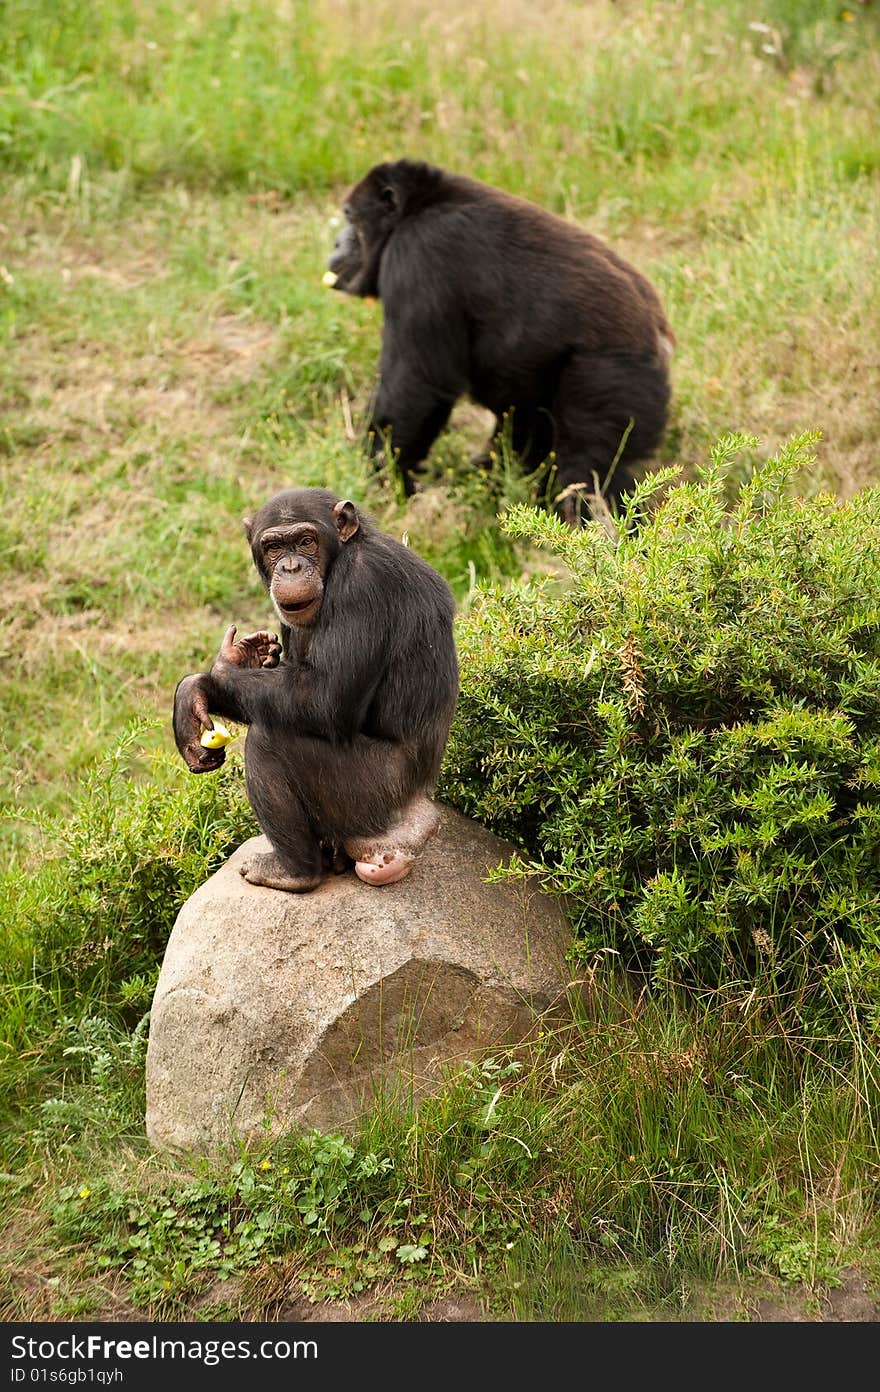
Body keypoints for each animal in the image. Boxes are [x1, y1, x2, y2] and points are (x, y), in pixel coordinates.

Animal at [172, 484, 459, 885]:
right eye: (274, 547)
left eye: (306, 541)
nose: (291, 566)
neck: (341, 556)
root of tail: (418, 801)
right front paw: (196, 691)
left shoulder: (361, 586)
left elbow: (324, 699)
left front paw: (224, 667)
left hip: (372, 793)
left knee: (271, 740)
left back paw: (294, 869)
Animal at [327, 157, 676, 523]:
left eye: (349, 216)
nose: (336, 243)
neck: (419, 207)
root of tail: (660, 335)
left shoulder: (419, 253)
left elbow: (414, 386)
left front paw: (382, 476)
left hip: (615, 375)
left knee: (587, 467)